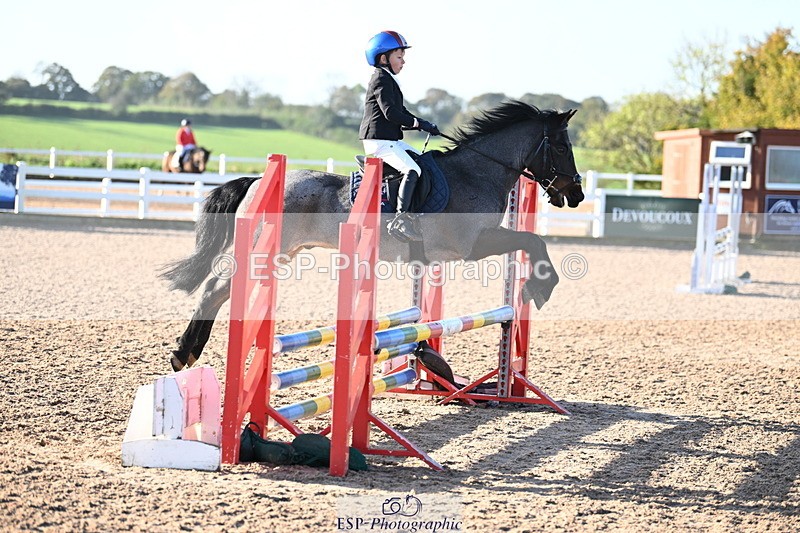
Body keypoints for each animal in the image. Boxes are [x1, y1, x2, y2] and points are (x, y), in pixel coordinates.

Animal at [161, 101, 584, 371]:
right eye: (563, 146)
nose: (576, 194)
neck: (477, 171)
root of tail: (256, 181)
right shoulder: (474, 245)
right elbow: (532, 241)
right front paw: (539, 288)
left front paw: (428, 358)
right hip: (266, 250)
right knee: (216, 287)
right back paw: (184, 353)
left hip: (281, 252)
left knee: (222, 290)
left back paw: (188, 353)